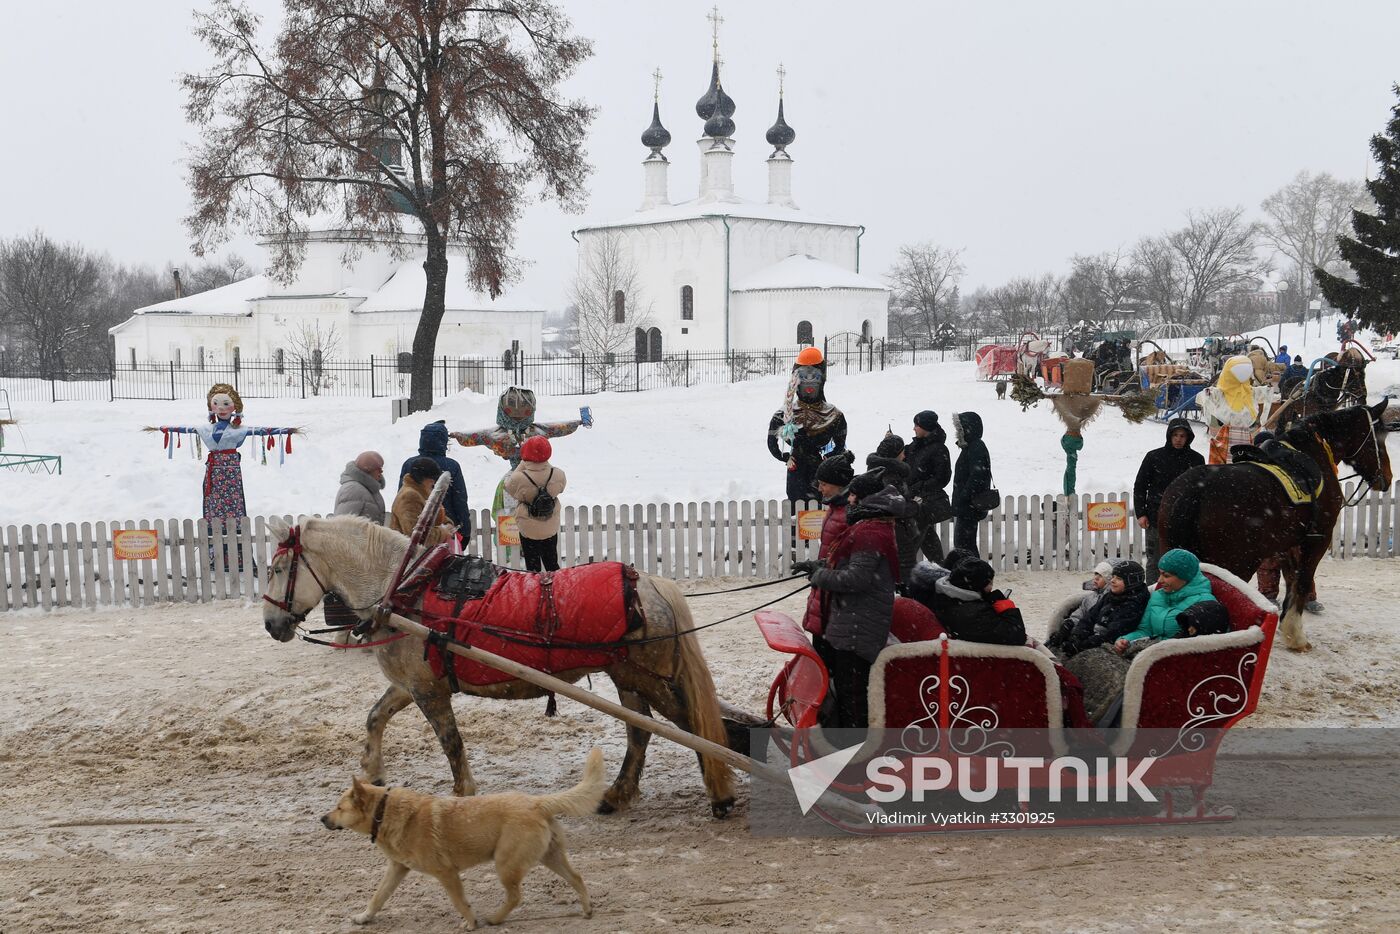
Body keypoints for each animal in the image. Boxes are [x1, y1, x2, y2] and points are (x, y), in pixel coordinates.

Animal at [266, 518, 739, 817]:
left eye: (277, 567)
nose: (272, 625)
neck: (403, 588)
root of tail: (650, 584)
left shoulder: (429, 690)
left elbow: (452, 744)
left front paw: (462, 794)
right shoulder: (412, 684)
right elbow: (375, 716)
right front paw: (374, 771)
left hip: (648, 678)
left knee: (691, 725)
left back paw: (720, 790)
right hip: (630, 679)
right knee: (641, 732)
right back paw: (619, 795)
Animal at [324, 744, 610, 929]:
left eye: (339, 807)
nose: (322, 819)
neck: (384, 811)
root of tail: (537, 802)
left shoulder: (447, 874)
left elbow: (460, 902)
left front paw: (471, 923)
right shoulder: (397, 869)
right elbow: (378, 896)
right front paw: (364, 917)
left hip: (505, 864)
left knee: (516, 896)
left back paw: (495, 919)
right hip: (550, 856)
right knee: (576, 877)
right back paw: (587, 909)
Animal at [1159, 397, 1388, 655]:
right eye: (1380, 437)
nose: (1387, 478)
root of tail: (1194, 492)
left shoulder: (1285, 545)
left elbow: (1291, 579)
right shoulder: (1318, 539)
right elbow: (1302, 581)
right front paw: (1295, 634)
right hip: (1235, 564)